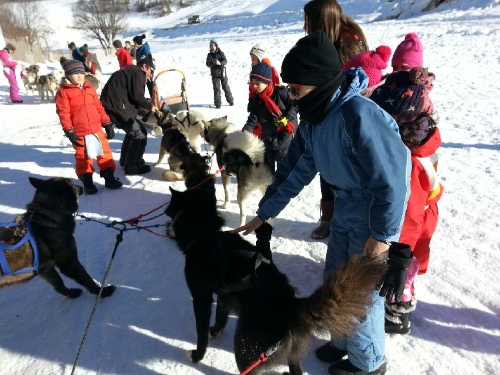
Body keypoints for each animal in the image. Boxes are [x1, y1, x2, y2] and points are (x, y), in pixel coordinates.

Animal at [164, 187, 386, 374]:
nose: (165, 222)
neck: (205, 234)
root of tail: (293, 307)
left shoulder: (200, 296)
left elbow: (201, 332)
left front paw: (197, 355)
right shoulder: (225, 296)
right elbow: (221, 316)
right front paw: (216, 331)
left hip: (245, 350)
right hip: (291, 355)